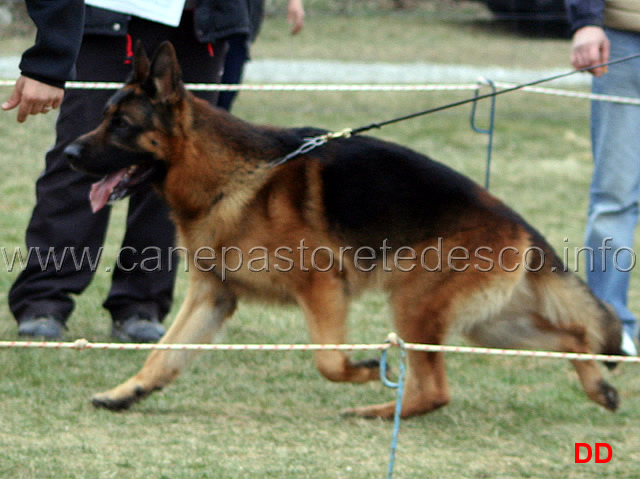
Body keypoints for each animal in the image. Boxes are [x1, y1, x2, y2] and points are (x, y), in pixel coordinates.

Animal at [63, 45, 620, 420]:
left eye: (121, 125)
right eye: (104, 117)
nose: (67, 153)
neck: (230, 176)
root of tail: (516, 222)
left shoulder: (322, 287)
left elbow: (328, 360)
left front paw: (364, 369)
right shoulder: (212, 296)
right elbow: (164, 354)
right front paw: (127, 392)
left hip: (416, 307)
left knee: (436, 389)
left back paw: (377, 409)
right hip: (486, 324)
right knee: (571, 336)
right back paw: (598, 387)